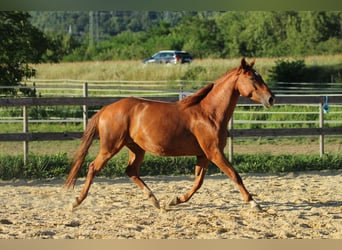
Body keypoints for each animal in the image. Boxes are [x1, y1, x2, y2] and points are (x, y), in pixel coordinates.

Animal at [65, 58, 276, 211]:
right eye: (252, 78)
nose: (271, 98)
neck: (209, 113)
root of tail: (105, 109)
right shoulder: (214, 152)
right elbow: (235, 175)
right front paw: (255, 204)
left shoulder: (204, 155)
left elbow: (198, 182)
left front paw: (174, 200)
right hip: (110, 147)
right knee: (93, 167)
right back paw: (76, 202)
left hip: (137, 148)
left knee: (131, 171)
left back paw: (156, 201)